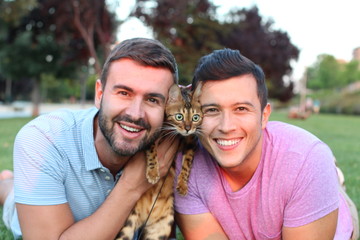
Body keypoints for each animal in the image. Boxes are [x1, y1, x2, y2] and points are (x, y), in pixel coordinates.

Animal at [117, 83, 204, 240]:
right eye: (179, 116)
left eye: (195, 117)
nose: (188, 129)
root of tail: (146, 216)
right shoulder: (150, 136)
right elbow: (152, 152)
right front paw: (152, 173)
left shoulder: (190, 142)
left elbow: (187, 164)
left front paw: (182, 185)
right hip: (128, 225)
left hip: (161, 228)